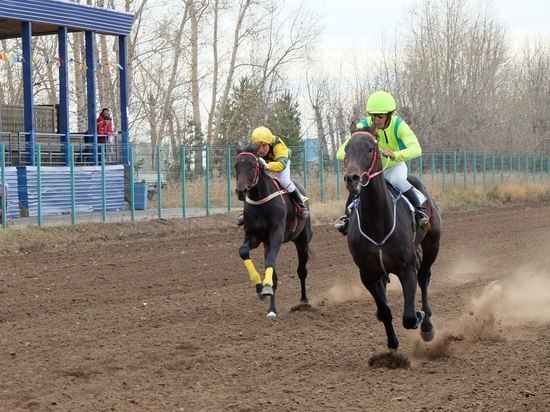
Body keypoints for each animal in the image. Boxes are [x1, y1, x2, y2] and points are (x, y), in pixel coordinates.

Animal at [236, 145, 314, 318]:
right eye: (236, 166)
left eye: (253, 166)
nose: (240, 191)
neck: (260, 202)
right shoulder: (254, 236)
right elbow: (243, 251)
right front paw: (260, 287)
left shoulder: (276, 234)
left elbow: (271, 261)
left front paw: (264, 288)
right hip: (267, 244)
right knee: (275, 278)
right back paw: (271, 309)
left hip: (302, 240)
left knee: (302, 271)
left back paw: (304, 301)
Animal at [344, 128, 444, 348]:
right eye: (346, 149)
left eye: (370, 148)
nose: (352, 178)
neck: (378, 224)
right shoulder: (367, 274)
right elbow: (384, 310)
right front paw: (392, 342)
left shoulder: (407, 269)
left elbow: (409, 317)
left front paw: (418, 316)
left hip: (433, 244)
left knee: (424, 276)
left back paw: (427, 325)